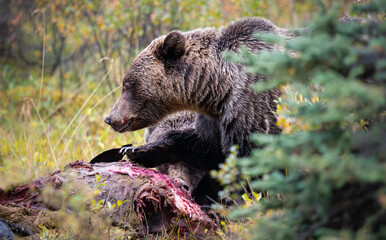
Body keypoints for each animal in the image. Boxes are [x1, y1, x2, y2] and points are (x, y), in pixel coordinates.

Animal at [103, 17, 292, 169]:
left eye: (127, 85)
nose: (109, 118)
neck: (217, 87)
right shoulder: (213, 118)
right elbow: (205, 146)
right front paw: (139, 150)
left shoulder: (251, 108)